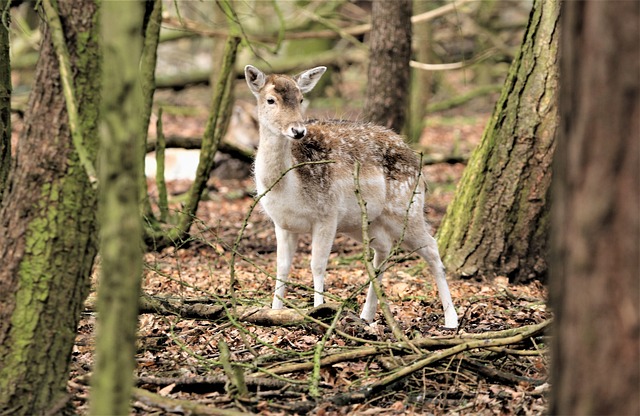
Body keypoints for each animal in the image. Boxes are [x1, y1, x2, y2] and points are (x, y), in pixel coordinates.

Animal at [245, 64, 460, 328]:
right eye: (270, 100)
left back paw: (451, 319)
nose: (297, 130)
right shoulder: (282, 223)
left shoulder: (327, 215)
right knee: (385, 247)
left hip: (406, 208)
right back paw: (367, 315)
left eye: (301, 99)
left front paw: (319, 311)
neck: (290, 188)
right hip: (363, 222)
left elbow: (317, 265)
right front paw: (274, 312)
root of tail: (416, 159)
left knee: (431, 247)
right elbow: (282, 268)